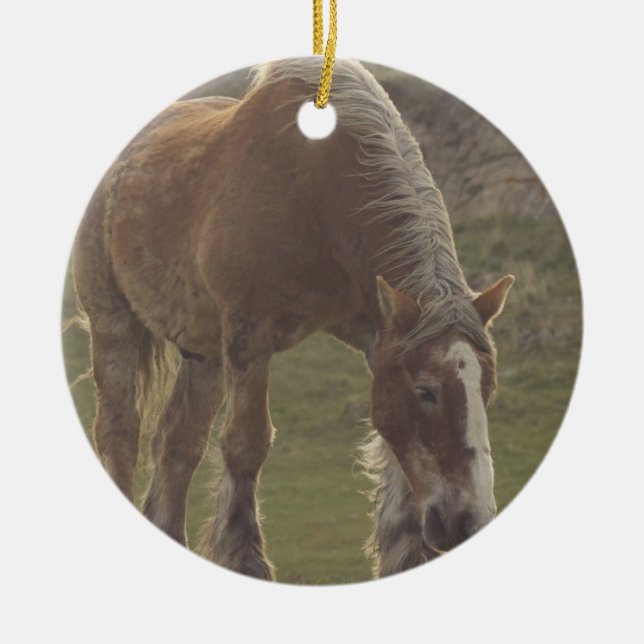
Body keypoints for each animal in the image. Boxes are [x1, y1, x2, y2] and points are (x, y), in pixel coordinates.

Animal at [71, 57, 514, 581]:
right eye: (426, 391)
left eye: (487, 391)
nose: (468, 522)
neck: (313, 193)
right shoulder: (249, 334)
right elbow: (247, 442)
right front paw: (246, 560)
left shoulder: (377, 337)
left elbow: (393, 451)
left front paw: (406, 555)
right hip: (114, 322)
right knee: (119, 431)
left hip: (205, 353)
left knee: (178, 443)